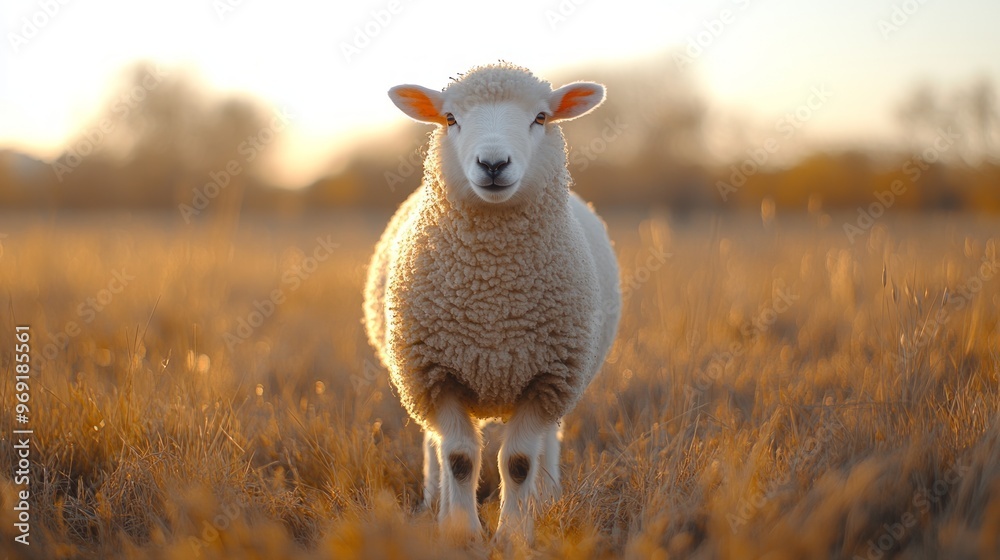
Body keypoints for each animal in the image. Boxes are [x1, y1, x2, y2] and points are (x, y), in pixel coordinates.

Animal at [363, 62, 621, 540]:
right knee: (436, 445)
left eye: (541, 117)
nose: (494, 164)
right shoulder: (434, 375)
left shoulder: (548, 378)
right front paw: (461, 533)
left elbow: (517, 462)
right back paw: (435, 503)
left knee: (545, 444)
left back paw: (547, 497)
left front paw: (514, 536)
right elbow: (460, 458)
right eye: (450, 118)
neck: (491, 301)